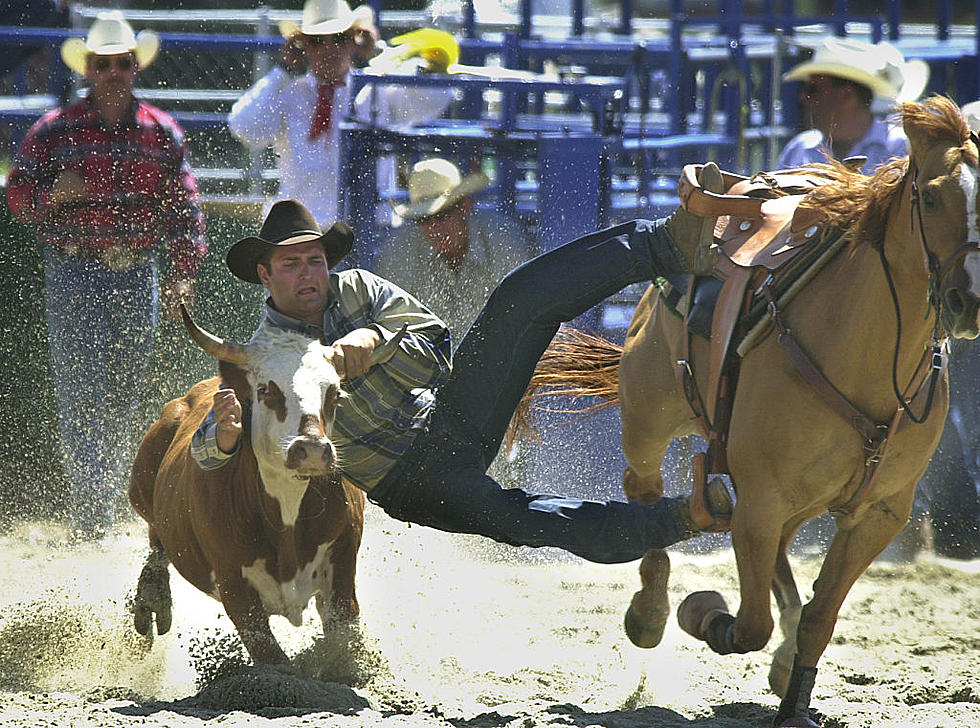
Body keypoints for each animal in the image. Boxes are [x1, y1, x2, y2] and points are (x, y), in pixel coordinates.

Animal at [520, 96, 980, 728]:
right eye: (931, 198)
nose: (970, 302)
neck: (863, 359)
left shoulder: (880, 513)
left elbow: (819, 617)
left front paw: (795, 700)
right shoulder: (760, 500)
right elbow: (749, 625)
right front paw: (703, 613)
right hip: (649, 419)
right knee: (643, 492)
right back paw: (650, 612)